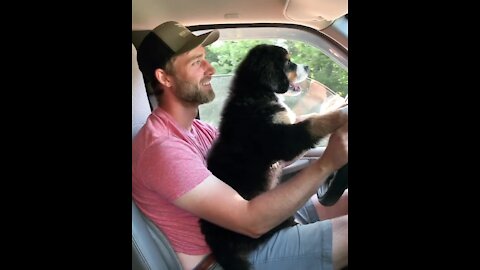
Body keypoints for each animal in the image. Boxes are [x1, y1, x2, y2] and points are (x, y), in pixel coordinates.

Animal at [200, 44, 348, 270]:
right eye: (288, 62)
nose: (307, 67)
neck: (257, 93)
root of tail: (216, 244)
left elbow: (311, 117)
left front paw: (339, 103)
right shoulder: (282, 139)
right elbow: (314, 122)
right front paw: (342, 115)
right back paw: (286, 222)